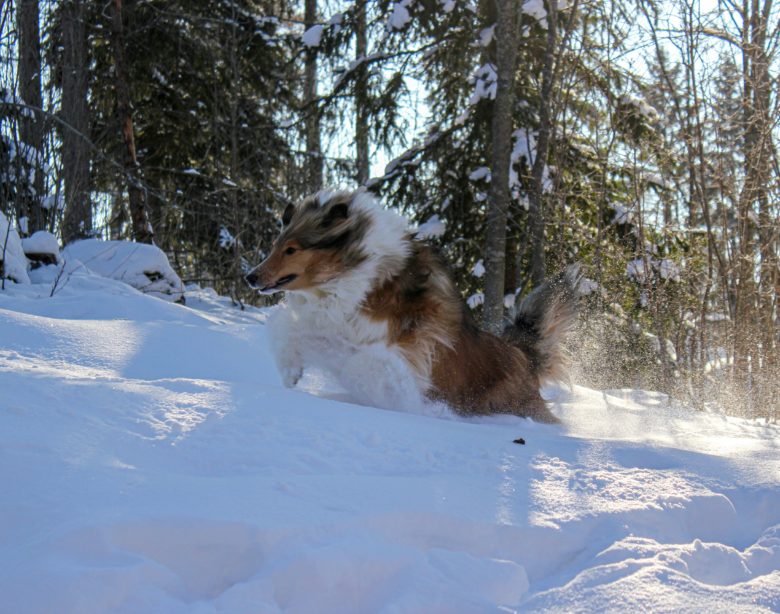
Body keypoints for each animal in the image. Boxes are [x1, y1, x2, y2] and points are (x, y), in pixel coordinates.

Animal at [247, 191, 580, 424]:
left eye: (292, 249)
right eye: (276, 246)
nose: (250, 277)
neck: (359, 271)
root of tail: (521, 356)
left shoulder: (403, 349)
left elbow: (365, 365)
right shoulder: (334, 325)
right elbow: (287, 326)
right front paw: (290, 372)